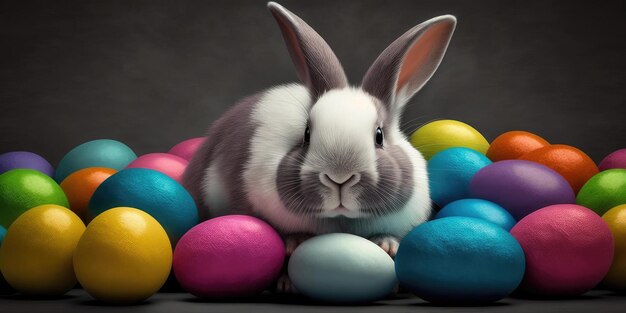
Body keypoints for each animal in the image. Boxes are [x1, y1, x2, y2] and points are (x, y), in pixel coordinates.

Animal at [180, 0, 454, 282]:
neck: (342, 219)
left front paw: (387, 244)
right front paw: (294, 245)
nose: (339, 177)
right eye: (306, 134)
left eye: (379, 136)